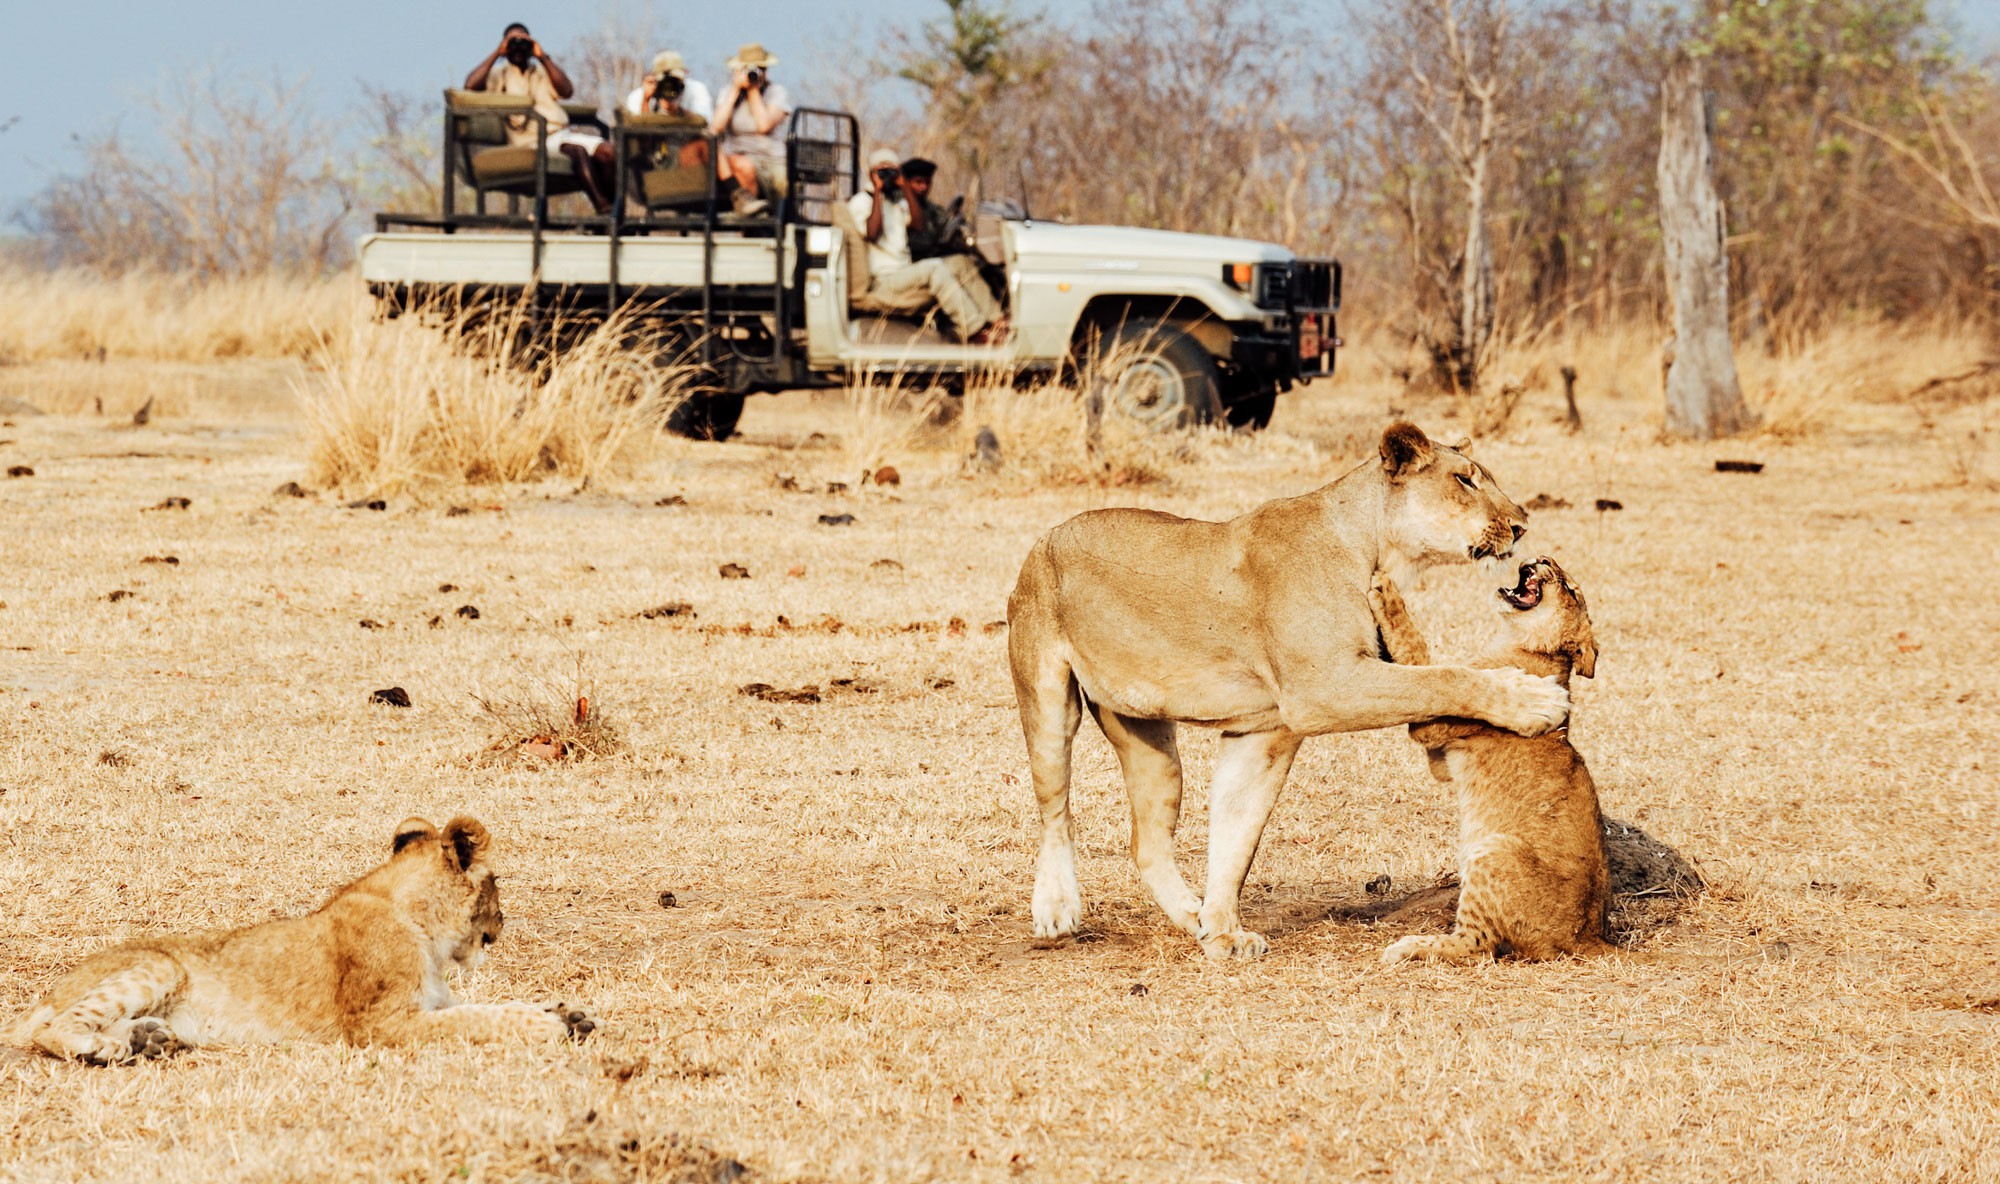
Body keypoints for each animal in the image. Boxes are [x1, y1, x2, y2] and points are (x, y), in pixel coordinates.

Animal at [7, 816, 598, 1064]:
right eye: (497, 883)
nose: (502, 925)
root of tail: (47, 991)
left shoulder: (427, 1003)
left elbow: (490, 1006)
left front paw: (567, 1013)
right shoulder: (378, 1025)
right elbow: (476, 1019)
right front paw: (550, 1026)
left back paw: (148, 1040)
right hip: (159, 966)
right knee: (51, 1030)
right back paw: (106, 1047)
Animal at [1005, 421, 1570, 960]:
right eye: (1465, 479)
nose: (1520, 524)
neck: (1373, 545)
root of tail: (1044, 537)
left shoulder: (1267, 731)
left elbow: (1236, 837)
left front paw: (1223, 932)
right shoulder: (1323, 687)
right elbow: (1443, 678)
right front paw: (1534, 700)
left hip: (1150, 740)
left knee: (1146, 841)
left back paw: (1191, 914)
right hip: (1047, 700)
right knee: (1054, 809)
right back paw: (1056, 909)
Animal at [1369, 557, 1613, 963]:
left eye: (1570, 589)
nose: (1544, 559)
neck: (1519, 643)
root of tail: (1588, 938)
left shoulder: (1435, 724)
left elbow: (1428, 663)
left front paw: (1386, 592)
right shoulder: (1441, 758)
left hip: (1494, 850)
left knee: (1475, 945)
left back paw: (1408, 947)